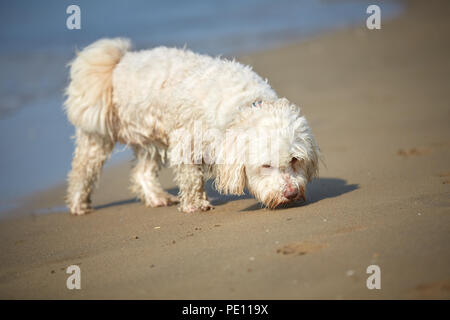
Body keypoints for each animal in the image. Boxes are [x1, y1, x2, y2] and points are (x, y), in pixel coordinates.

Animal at [64, 38, 320, 214]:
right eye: (266, 165)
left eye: (295, 160)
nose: (291, 193)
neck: (244, 105)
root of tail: (119, 62)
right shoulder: (186, 138)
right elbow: (190, 176)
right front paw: (195, 204)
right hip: (97, 136)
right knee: (82, 170)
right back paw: (78, 205)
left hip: (149, 140)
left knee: (141, 171)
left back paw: (156, 198)